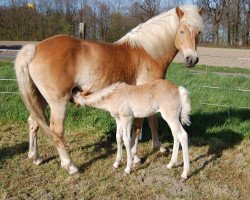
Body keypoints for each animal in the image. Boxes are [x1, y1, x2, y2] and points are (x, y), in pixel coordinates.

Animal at [15, 4, 203, 173]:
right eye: (181, 31)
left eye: (199, 32)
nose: (192, 59)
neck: (148, 52)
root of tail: (35, 47)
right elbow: (143, 124)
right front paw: (137, 156)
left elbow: (149, 122)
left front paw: (153, 149)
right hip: (58, 102)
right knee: (56, 130)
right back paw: (70, 165)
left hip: (40, 99)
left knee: (34, 122)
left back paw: (35, 156)